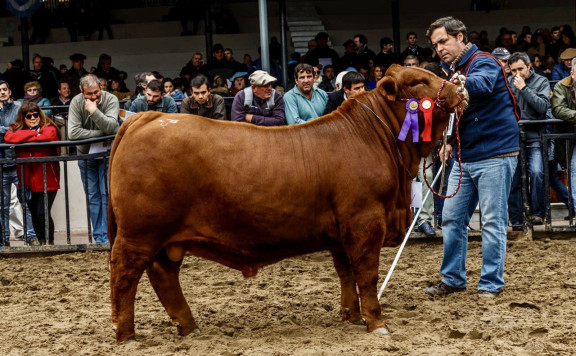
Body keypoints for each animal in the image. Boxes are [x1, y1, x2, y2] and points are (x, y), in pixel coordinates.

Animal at [108, 65, 468, 344]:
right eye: (418, 81)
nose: (460, 87)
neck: (372, 138)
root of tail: (148, 117)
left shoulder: (341, 232)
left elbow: (345, 273)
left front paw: (351, 315)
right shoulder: (365, 221)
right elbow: (365, 274)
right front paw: (376, 323)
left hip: (163, 238)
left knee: (163, 275)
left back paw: (188, 326)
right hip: (140, 233)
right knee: (125, 275)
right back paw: (126, 335)